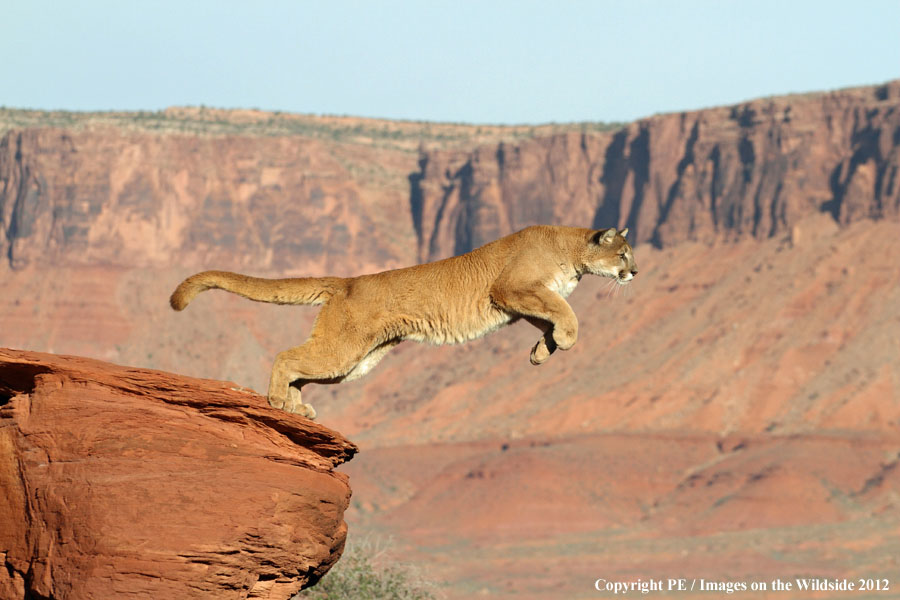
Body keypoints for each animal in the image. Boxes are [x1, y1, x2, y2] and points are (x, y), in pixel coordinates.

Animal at [167, 225, 632, 418]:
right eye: (624, 254)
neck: (569, 249)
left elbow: (550, 319)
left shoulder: (522, 302)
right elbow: (566, 313)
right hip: (344, 351)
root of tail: (348, 281)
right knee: (286, 356)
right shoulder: (512, 289)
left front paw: (541, 351)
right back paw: (281, 403)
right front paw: (564, 340)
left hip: (355, 362)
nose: (636, 271)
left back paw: (298, 408)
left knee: (302, 367)